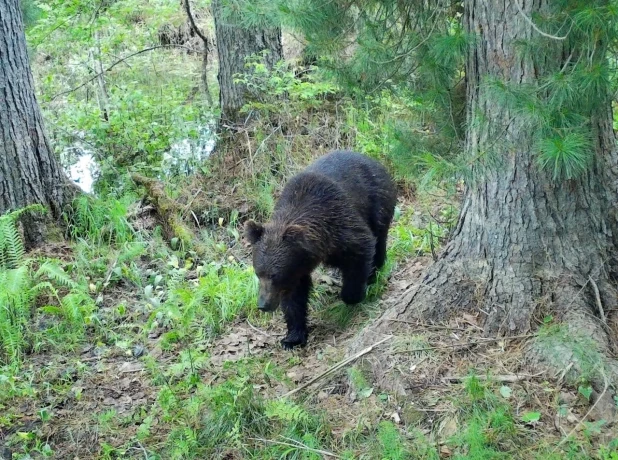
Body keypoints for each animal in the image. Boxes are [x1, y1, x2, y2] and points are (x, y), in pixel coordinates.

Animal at [242, 150, 394, 348]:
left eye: (274, 275)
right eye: (258, 273)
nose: (263, 304)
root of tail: (373, 161)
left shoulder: (341, 223)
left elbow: (361, 249)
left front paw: (352, 295)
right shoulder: (296, 268)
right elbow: (295, 297)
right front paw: (292, 337)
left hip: (377, 200)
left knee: (379, 236)